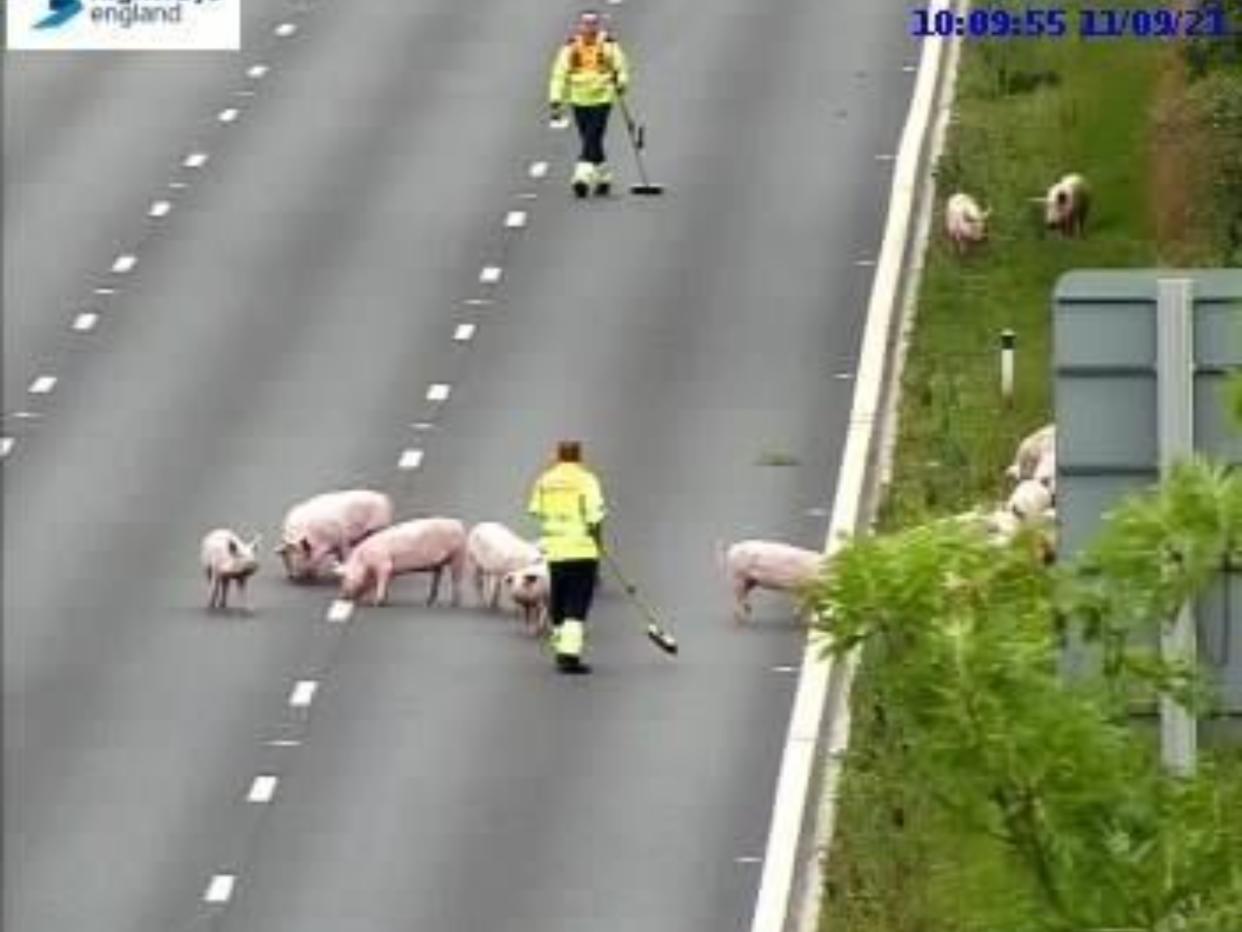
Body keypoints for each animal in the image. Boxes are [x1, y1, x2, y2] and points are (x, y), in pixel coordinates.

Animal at [337, 514, 466, 608]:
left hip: (458, 554)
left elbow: (381, 581)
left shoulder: (383, 563)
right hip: (440, 562)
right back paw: (429, 602)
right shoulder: (388, 570)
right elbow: (385, 582)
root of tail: (458, 524)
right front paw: (384, 600)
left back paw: (454, 603)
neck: (364, 561)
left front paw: (377, 603)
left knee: (457, 579)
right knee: (437, 576)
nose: (342, 596)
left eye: (346, 577)